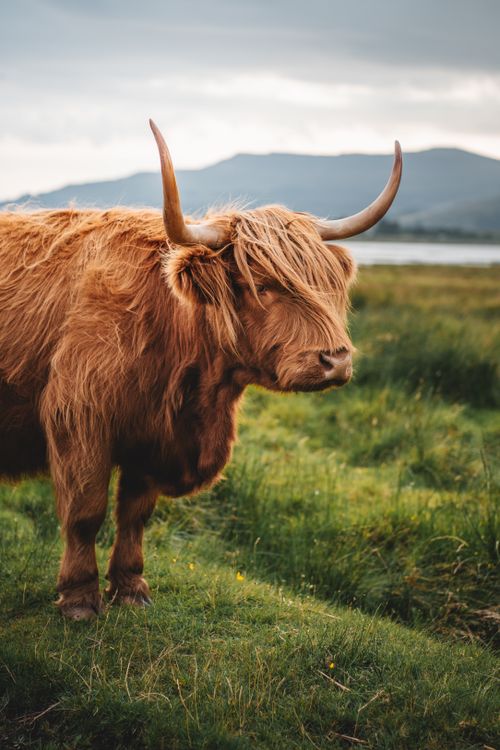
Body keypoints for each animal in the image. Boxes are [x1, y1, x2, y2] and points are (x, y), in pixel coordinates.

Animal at [0, 121, 402, 619]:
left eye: (327, 284)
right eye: (262, 285)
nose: (336, 360)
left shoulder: (154, 439)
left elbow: (135, 513)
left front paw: (131, 588)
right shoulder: (79, 417)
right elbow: (86, 511)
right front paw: (79, 598)